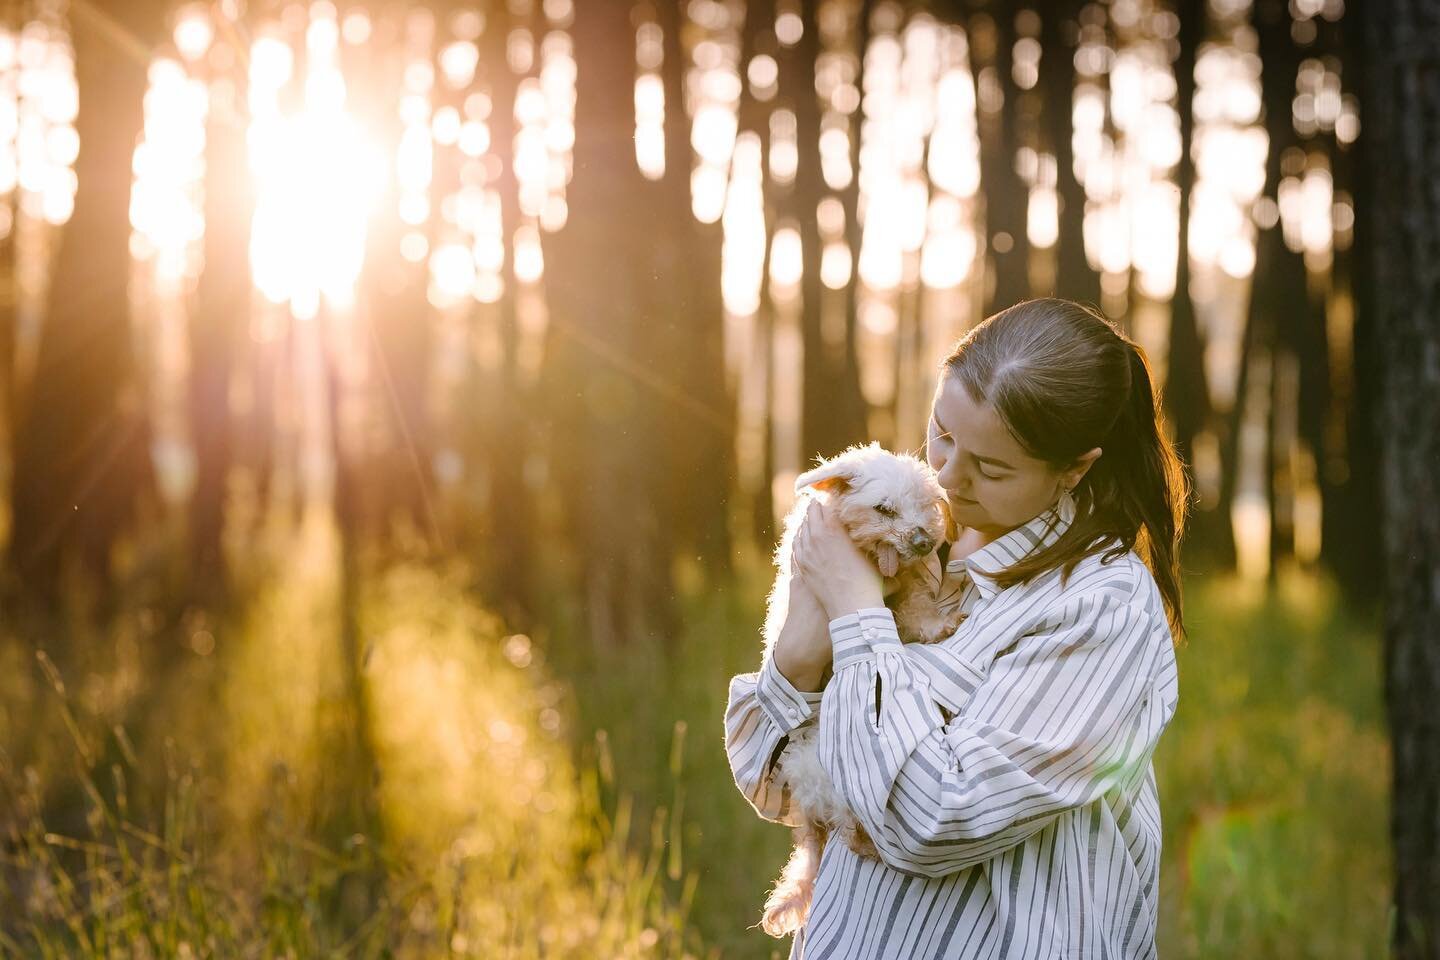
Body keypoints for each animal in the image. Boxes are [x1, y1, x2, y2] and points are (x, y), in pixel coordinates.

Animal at [754, 443, 967, 938]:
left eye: (925, 505)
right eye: (884, 509)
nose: (924, 541)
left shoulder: (906, 587)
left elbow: (914, 603)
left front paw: (935, 622)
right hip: (823, 768)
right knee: (850, 827)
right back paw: (864, 841)